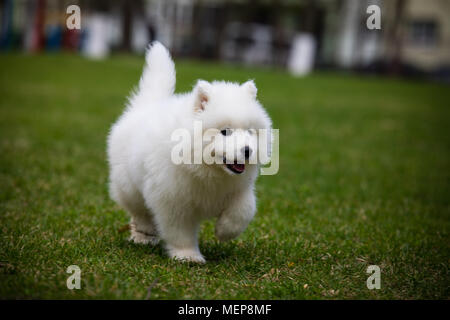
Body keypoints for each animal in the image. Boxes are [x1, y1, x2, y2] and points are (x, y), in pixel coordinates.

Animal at [107, 42, 272, 262]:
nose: (247, 151)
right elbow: (180, 231)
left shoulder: (240, 189)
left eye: (250, 132)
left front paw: (224, 231)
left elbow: (244, 210)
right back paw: (144, 235)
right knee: (139, 212)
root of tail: (145, 106)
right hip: (129, 186)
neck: (207, 170)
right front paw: (188, 256)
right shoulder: (172, 199)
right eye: (225, 131)